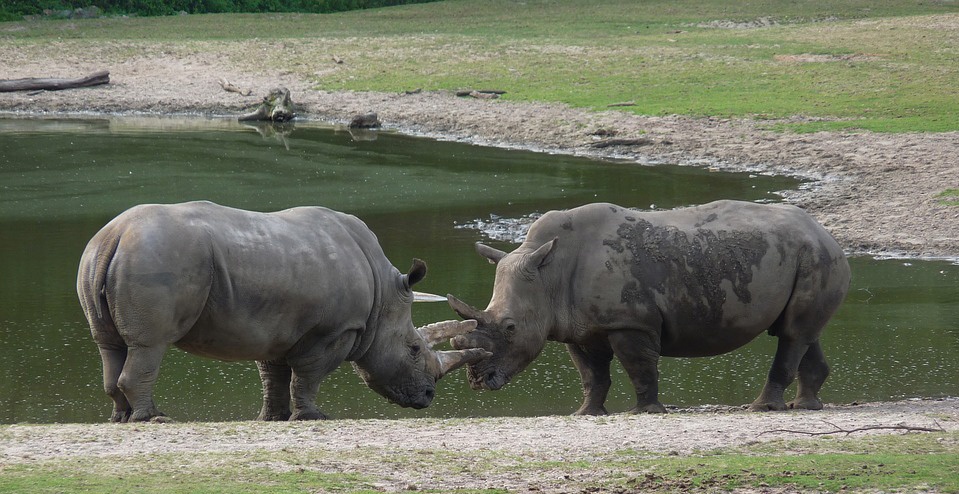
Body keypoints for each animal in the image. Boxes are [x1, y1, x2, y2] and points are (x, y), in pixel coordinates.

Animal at [77, 201, 490, 422]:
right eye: (415, 350)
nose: (428, 396)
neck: (384, 298)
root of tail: (114, 236)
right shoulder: (335, 330)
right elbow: (307, 375)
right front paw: (313, 417)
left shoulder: (273, 327)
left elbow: (273, 375)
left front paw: (272, 418)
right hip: (156, 257)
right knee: (150, 344)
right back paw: (154, 418)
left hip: (98, 256)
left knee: (109, 345)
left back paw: (121, 418)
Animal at [448, 200, 850, 414]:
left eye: (510, 327)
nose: (478, 381)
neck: (548, 274)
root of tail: (826, 231)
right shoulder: (577, 327)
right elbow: (591, 374)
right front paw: (586, 413)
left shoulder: (630, 322)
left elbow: (639, 368)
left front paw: (646, 412)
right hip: (808, 255)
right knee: (801, 332)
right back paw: (806, 406)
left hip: (815, 255)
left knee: (792, 333)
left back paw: (762, 408)